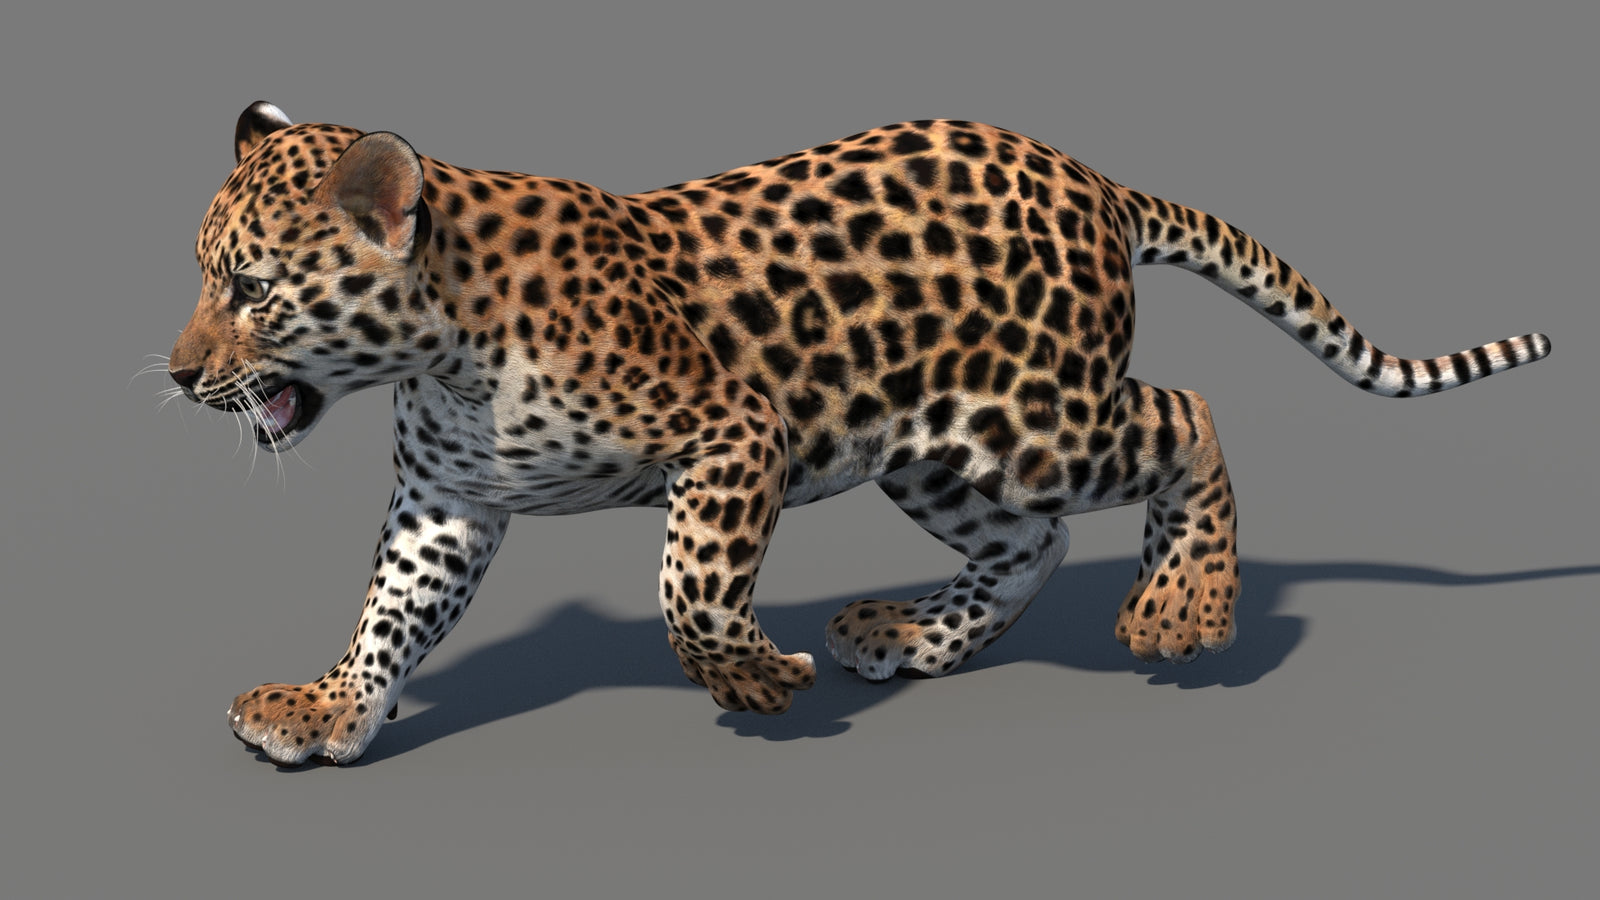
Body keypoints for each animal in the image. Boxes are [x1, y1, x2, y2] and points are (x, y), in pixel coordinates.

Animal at [168, 102, 1550, 766]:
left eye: (248, 289)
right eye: (204, 278)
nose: (180, 376)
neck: (442, 351)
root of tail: (1096, 180)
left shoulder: (735, 431)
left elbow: (687, 582)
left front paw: (746, 677)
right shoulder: (449, 502)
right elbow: (392, 610)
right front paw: (330, 707)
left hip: (1042, 418)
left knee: (1187, 418)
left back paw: (1184, 607)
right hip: (939, 448)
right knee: (1032, 542)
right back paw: (912, 636)